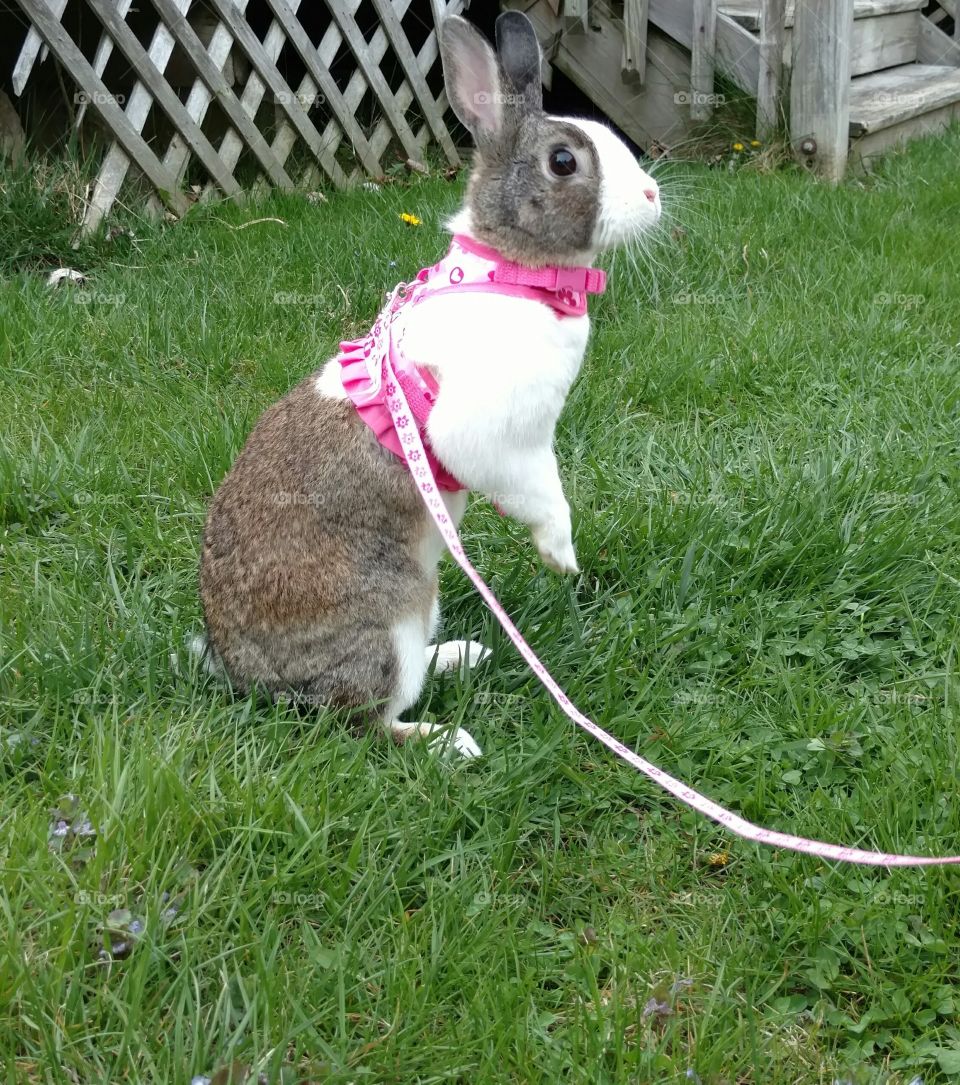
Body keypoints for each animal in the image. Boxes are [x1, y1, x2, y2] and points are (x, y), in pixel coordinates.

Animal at [194, 11, 662, 758]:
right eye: (564, 162)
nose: (651, 196)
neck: (512, 270)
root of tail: (245, 671)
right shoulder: (500, 442)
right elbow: (548, 501)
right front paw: (562, 561)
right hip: (392, 619)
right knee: (366, 721)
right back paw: (450, 742)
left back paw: (465, 654)